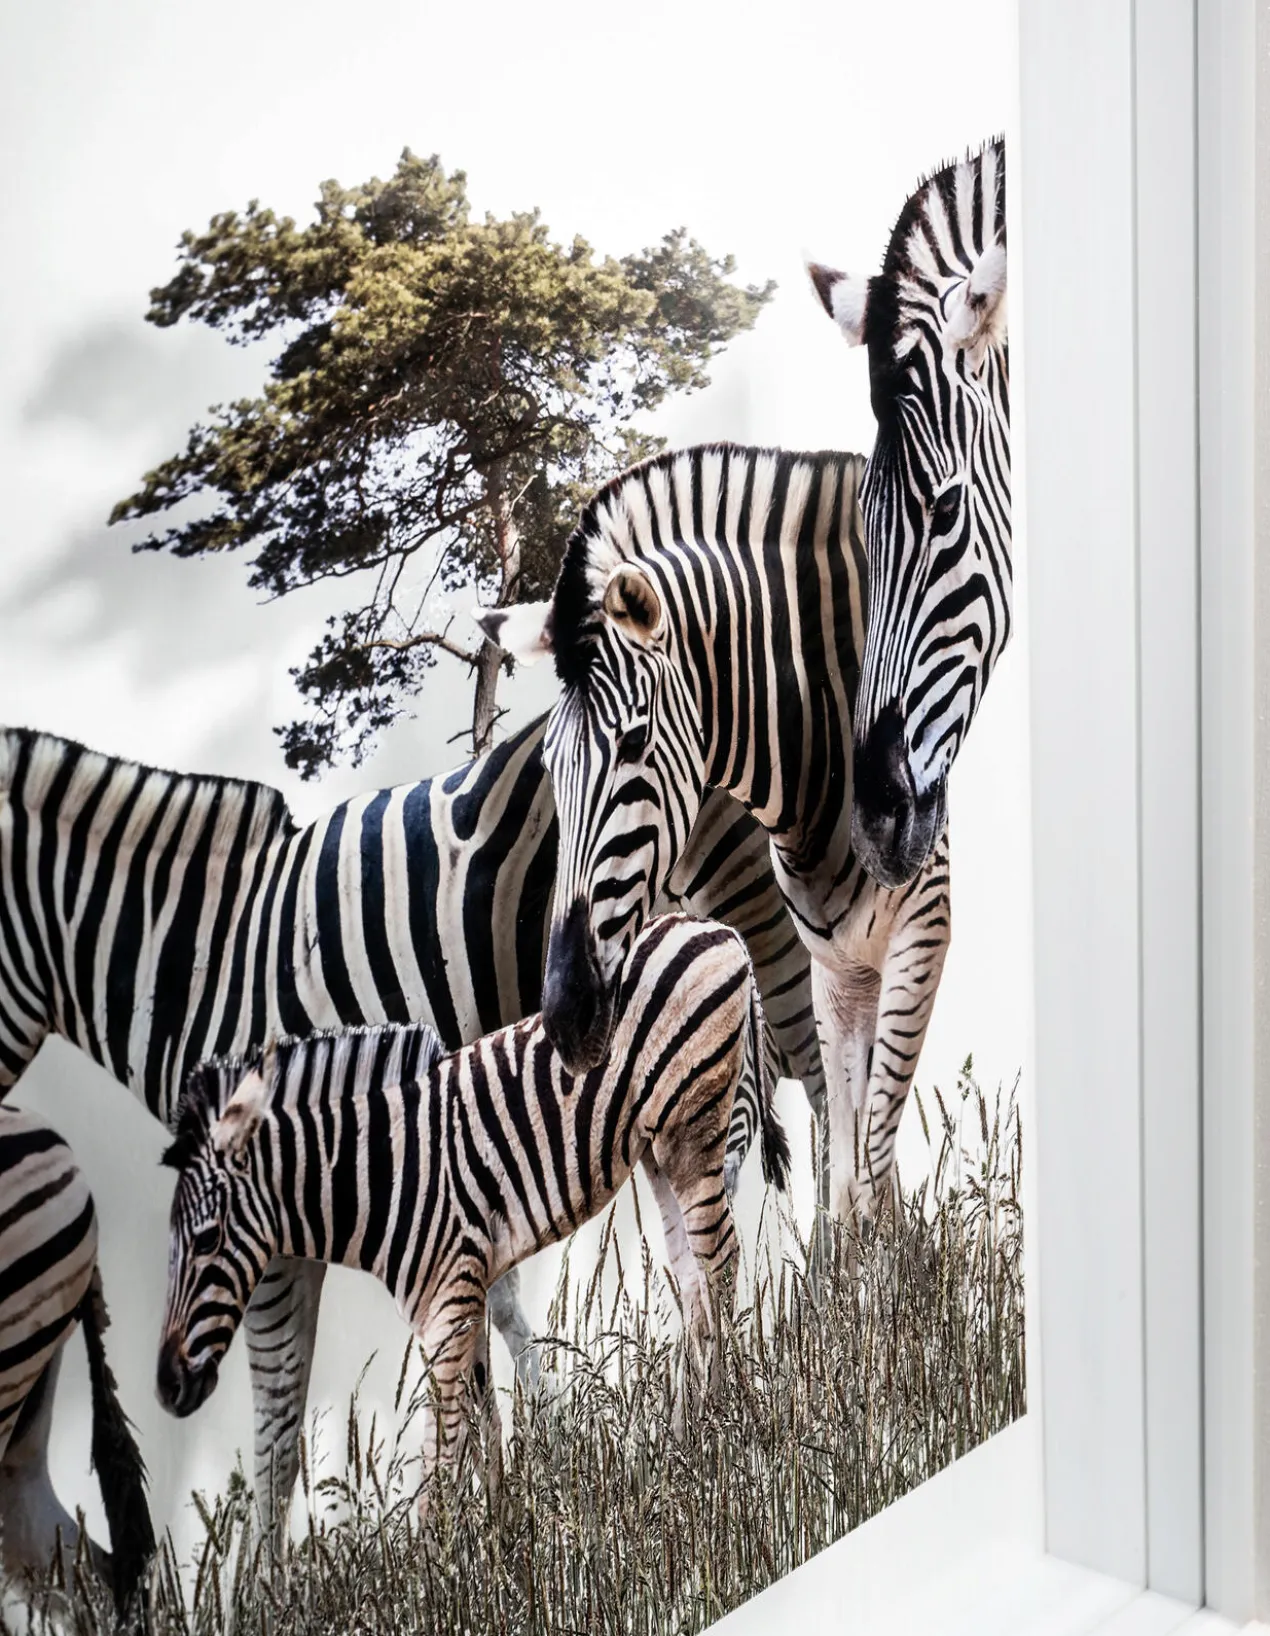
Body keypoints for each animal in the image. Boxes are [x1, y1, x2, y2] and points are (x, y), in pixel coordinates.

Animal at [156, 915, 790, 1509]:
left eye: (208, 1241)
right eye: (172, 1248)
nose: (167, 1389)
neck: (383, 1175)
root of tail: (714, 927)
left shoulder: (449, 1301)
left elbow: (440, 1461)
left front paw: (442, 1547)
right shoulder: (461, 1295)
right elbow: (481, 1430)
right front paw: (498, 1533)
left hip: (692, 1127)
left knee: (720, 1262)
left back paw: (726, 1422)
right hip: (659, 1146)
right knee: (692, 1280)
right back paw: (687, 1438)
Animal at [476, 444, 952, 1238]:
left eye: (634, 741)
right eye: (549, 764)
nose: (565, 1019)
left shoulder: (920, 913)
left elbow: (869, 1141)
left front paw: (893, 1264)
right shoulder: (829, 957)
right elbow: (849, 1145)